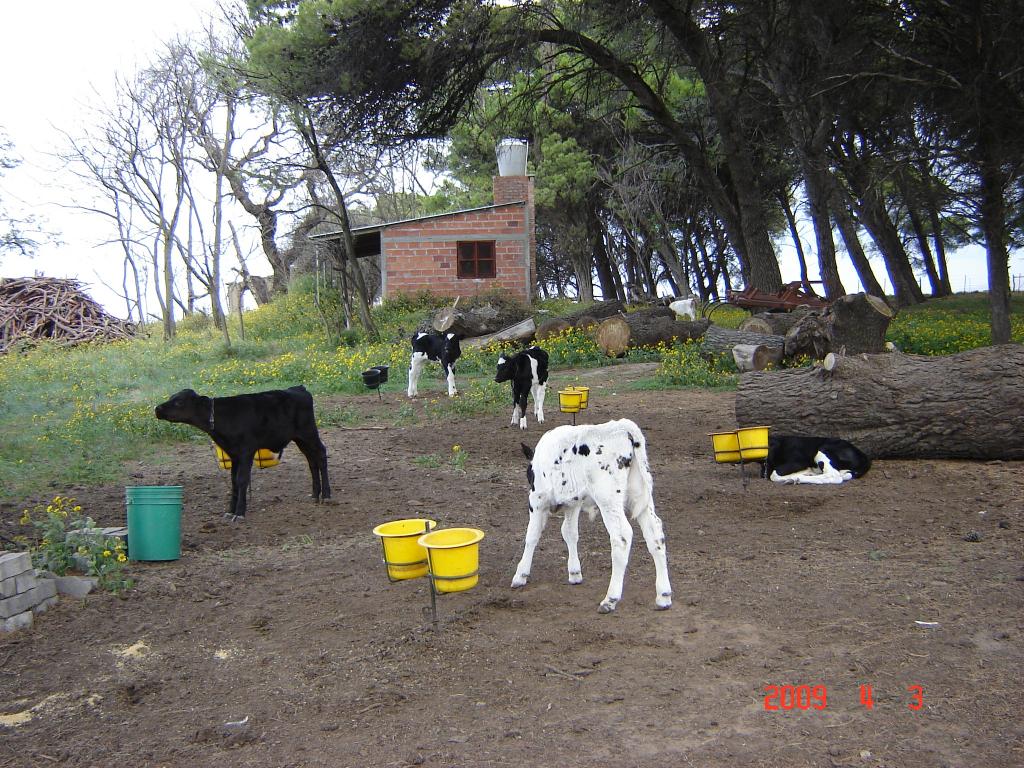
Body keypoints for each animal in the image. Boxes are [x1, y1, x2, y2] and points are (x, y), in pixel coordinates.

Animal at [153, 387, 329, 520]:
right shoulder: (233, 454)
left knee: (321, 454)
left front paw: (239, 513)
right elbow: (233, 481)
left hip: (309, 433)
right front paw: (230, 510)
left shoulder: (246, 451)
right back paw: (315, 494)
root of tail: (299, 388)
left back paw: (326, 495)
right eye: (171, 397)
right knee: (311, 460)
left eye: (178, 401)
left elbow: (242, 480)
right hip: (300, 439)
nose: (157, 409)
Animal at [512, 417, 671, 618]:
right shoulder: (573, 503)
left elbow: (532, 536)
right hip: (639, 496)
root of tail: (623, 427)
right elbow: (570, 533)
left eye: (529, 475)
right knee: (655, 533)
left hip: (608, 499)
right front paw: (574, 573)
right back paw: (664, 596)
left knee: (622, 537)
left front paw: (521, 575)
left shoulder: (537, 500)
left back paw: (610, 599)